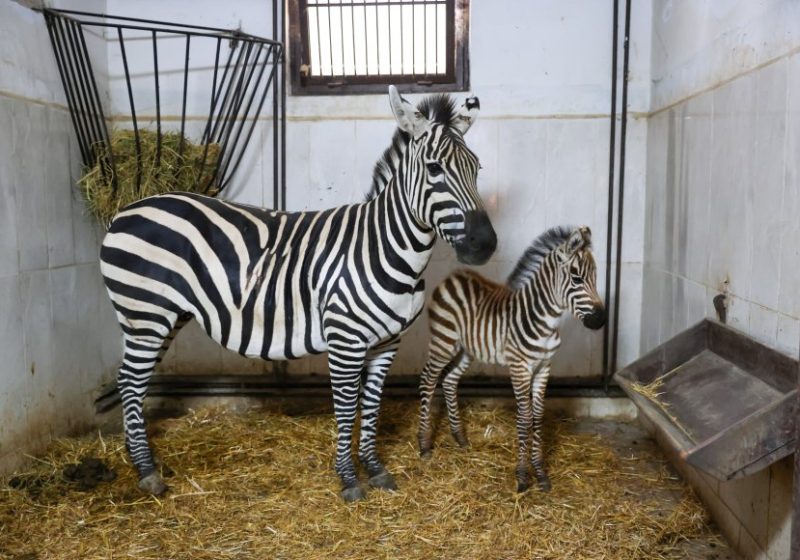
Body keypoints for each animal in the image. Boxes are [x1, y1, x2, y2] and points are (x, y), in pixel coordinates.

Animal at [100, 86, 497, 502]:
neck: (385, 246)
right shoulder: (345, 341)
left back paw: (136, 456)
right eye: (435, 169)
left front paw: (375, 469)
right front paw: (349, 479)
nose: (484, 244)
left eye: (477, 168)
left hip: (164, 316)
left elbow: (372, 404)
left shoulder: (387, 342)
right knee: (131, 381)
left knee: (132, 380)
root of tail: (127, 208)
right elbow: (347, 407)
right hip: (146, 313)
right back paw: (147, 472)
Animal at [417, 225, 605, 493]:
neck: (545, 321)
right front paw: (523, 476)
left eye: (595, 278)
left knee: (450, 381)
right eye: (577, 278)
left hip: (467, 350)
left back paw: (460, 438)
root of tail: (453, 275)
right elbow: (525, 418)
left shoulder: (544, 367)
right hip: (443, 342)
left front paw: (541, 473)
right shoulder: (520, 367)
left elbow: (538, 416)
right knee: (428, 380)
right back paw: (424, 445)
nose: (600, 320)